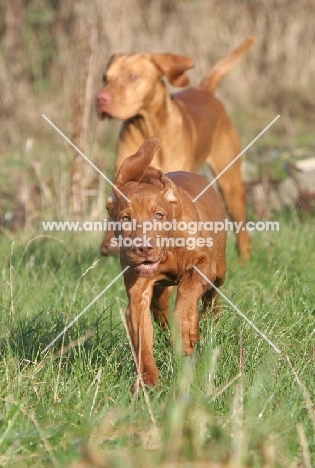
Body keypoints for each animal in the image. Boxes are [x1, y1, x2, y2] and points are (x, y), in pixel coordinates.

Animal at [97, 36, 256, 262]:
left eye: (132, 76)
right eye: (105, 78)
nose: (100, 99)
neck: (147, 126)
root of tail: (205, 90)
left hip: (230, 185)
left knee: (241, 229)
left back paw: (244, 261)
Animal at [107, 137, 227, 386]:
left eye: (158, 215)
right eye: (126, 218)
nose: (143, 248)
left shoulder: (204, 263)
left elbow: (189, 286)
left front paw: (184, 333)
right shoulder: (138, 296)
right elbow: (142, 339)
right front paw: (148, 381)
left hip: (220, 270)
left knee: (212, 294)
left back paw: (211, 318)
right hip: (160, 296)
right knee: (161, 312)